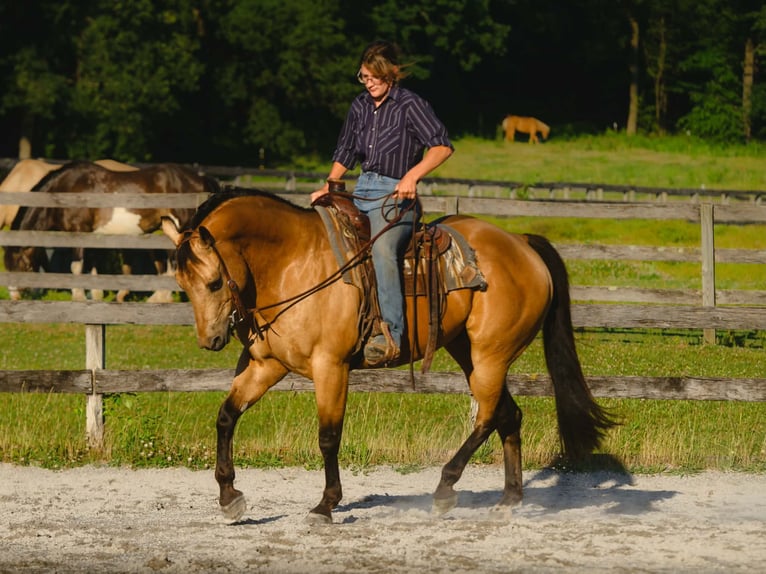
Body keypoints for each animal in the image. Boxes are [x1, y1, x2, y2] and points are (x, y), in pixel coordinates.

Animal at [4, 160, 219, 302]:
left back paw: (160, 297)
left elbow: (76, 266)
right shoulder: (91, 236)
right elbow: (91, 265)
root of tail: (201, 180)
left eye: (19, 264)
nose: (14, 296)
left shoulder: (78, 233)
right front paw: (96, 294)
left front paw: (78, 295)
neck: (65, 191)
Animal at [161, 188, 616, 524]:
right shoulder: (266, 365)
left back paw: (445, 488)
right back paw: (509, 499)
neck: (292, 263)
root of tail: (522, 244)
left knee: (487, 417)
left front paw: (326, 504)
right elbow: (226, 416)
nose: (211, 340)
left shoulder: (332, 367)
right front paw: (229, 496)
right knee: (509, 415)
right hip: (469, 352)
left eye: (214, 282)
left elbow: (328, 437)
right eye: (182, 282)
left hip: (492, 355)